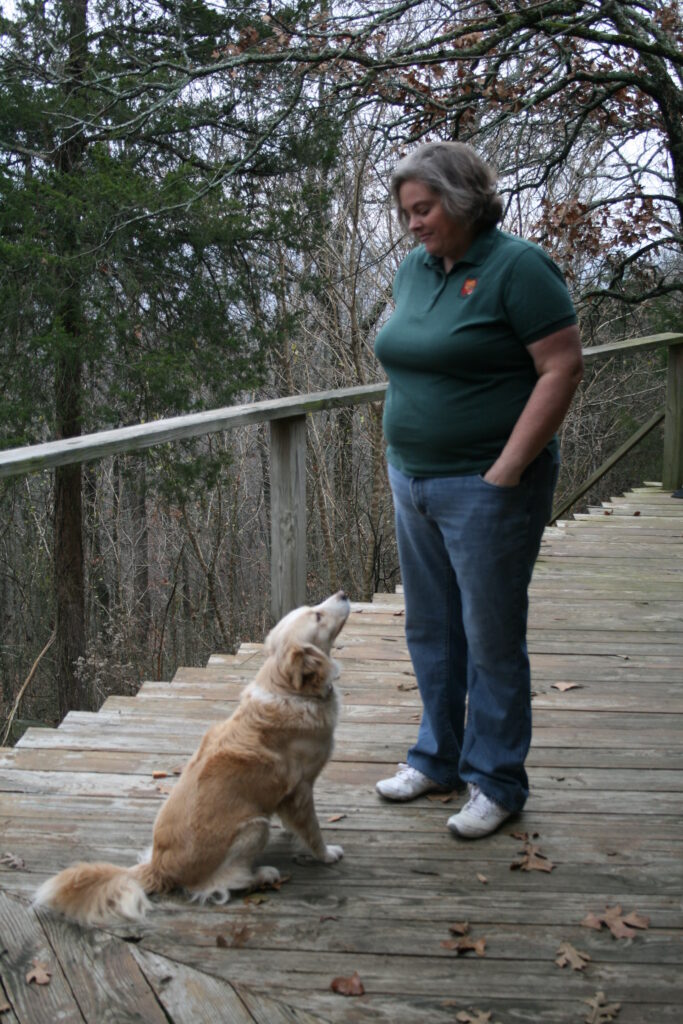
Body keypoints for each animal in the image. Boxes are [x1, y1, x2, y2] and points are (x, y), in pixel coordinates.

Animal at [34, 585, 350, 929]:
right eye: (317, 615)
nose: (343, 594)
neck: (290, 690)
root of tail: (159, 867)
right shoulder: (301, 789)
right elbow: (313, 830)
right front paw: (327, 853)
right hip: (254, 827)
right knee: (219, 883)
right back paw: (262, 874)